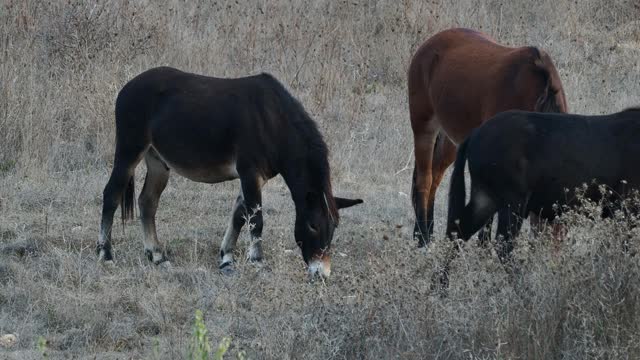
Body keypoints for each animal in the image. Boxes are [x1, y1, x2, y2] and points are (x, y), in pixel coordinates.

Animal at [408, 28, 568, 248]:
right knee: (424, 180)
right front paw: (484, 248)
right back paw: (422, 239)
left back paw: (426, 235)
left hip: (450, 141)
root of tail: (429, 43)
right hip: (424, 127)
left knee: (434, 178)